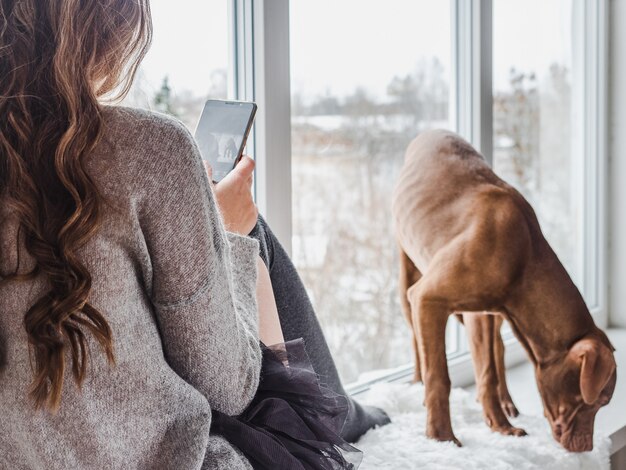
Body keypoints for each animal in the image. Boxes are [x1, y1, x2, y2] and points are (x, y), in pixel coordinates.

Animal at [390, 129, 616, 452]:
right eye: (598, 401)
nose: (587, 449)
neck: (524, 255)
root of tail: (432, 132)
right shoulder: (427, 299)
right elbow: (439, 377)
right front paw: (441, 437)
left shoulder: (485, 314)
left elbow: (488, 374)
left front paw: (500, 426)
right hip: (408, 283)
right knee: (418, 344)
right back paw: (418, 383)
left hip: (485, 316)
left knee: (497, 353)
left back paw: (506, 403)